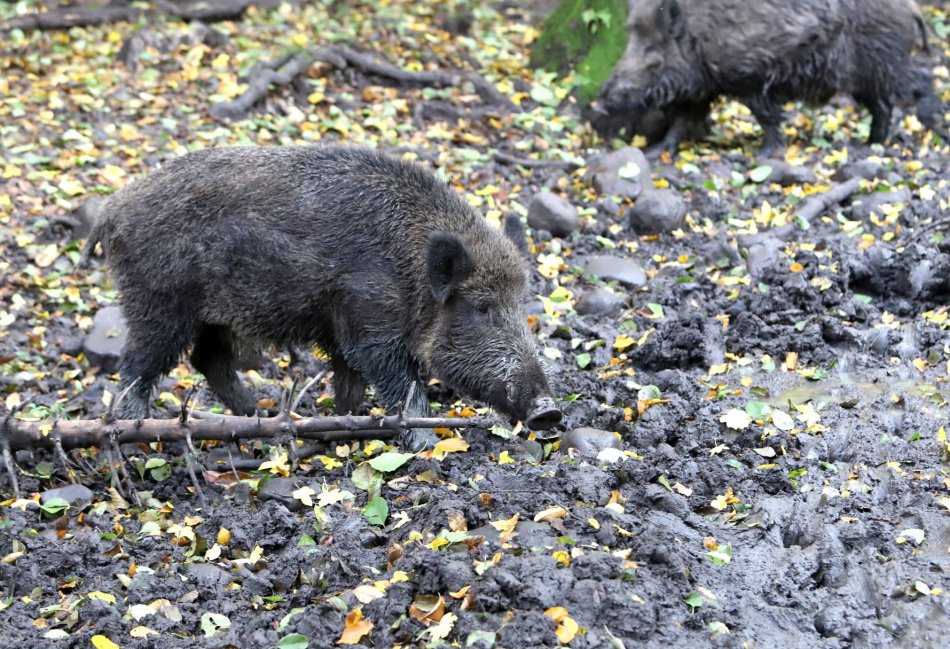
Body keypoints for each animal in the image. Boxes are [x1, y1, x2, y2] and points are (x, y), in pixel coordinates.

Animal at [83, 145, 562, 449]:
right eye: (481, 307)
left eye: (521, 304)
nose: (549, 411)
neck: (410, 270)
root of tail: (110, 211)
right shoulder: (370, 324)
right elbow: (401, 385)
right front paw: (423, 443)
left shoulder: (342, 333)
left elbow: (349, 382)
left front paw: (346, 422)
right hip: (158, 305)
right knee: (137, 366)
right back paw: (138, 428)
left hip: (211, 317)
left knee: (208, 359)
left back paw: (256, 416)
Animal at [597, 0, 945, 155]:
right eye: (630, 42)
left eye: (653, 59)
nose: (598, 104)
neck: (697, 38)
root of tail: (913, 10)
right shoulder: (702, 88)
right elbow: (681, 122)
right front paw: (654, 152)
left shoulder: (752, 76)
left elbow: (767, 117)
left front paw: (765, 154)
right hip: (870, 79)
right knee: (883, 106)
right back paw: (871, 144)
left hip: (882, 68)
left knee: (913, 89)